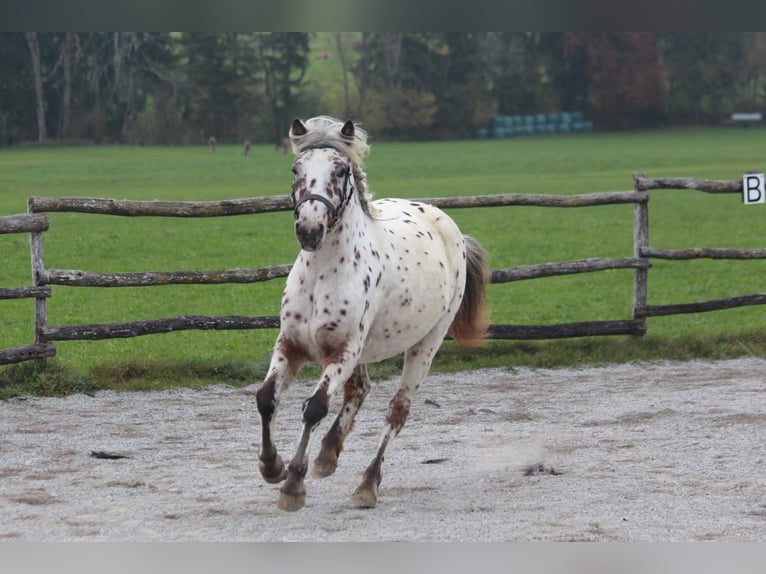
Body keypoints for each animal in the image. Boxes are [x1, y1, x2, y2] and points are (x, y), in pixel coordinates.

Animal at [258, 115, 492, 510]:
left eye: (340, 170)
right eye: (296, 168)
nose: (309, 230)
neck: (322, 273)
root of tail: (449, 226)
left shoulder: (342, 351)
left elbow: (314, 408)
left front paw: (293, 485)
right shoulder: (291, 346)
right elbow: (266, 399)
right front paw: (271, 466)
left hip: (426, 344)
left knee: (398, 410)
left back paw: (367, 484)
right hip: (364, 350)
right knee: (360, 389)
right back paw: (327, 455)